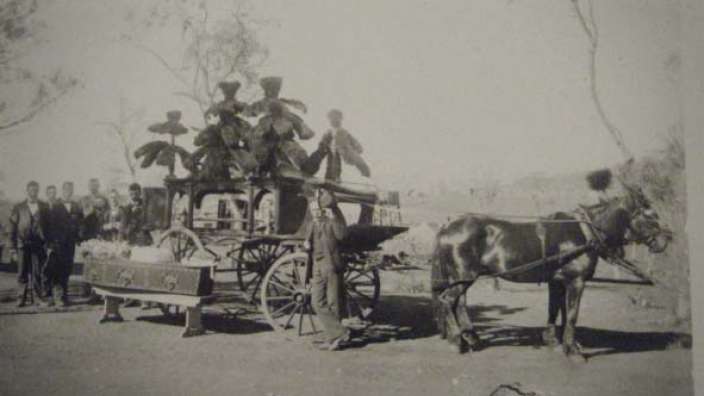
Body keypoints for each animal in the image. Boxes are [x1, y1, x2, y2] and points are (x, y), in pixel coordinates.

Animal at [428, 181, 672, 360]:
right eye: (650, 214)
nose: (666, 239)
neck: (584, 232)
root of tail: (447, 226)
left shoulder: (558, 281)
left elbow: (557, 310)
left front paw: (557, 341)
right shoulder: (576, 281)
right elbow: (572, 314)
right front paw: (572, 351)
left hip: (461, 278)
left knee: (459, 303)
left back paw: (472, 339)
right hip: (463, 276)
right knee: (448, 300)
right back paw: (457, 341)